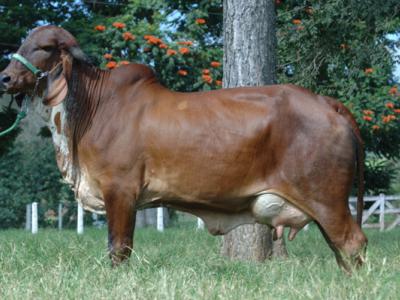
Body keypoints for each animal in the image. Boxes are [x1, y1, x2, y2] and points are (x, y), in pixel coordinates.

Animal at [0, 25, 368, 270]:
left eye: (44, 47)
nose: (5, 77)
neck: (93, 106)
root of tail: (328, 104)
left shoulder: (120, 190)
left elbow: (119, 248)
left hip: (327, 199)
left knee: (352, 243)